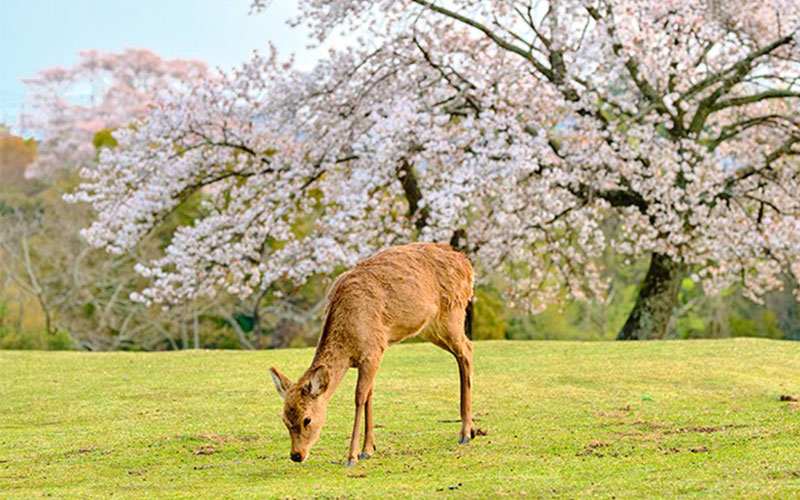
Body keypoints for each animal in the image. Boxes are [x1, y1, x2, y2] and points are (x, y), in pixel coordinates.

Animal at [269, 242, 477, 467]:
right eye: (284, 419)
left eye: (307, 419)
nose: (296, 455)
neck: (348, 344)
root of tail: (467, 264)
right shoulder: (369, 358)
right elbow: (369, 394)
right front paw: (368, 449)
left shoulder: (373, 350)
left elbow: (360, 397)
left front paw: (352, 456)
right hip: (431, 328)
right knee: (463, 351)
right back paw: (472, 429)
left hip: (452, 313)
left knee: (467, 350)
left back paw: (465, 433)